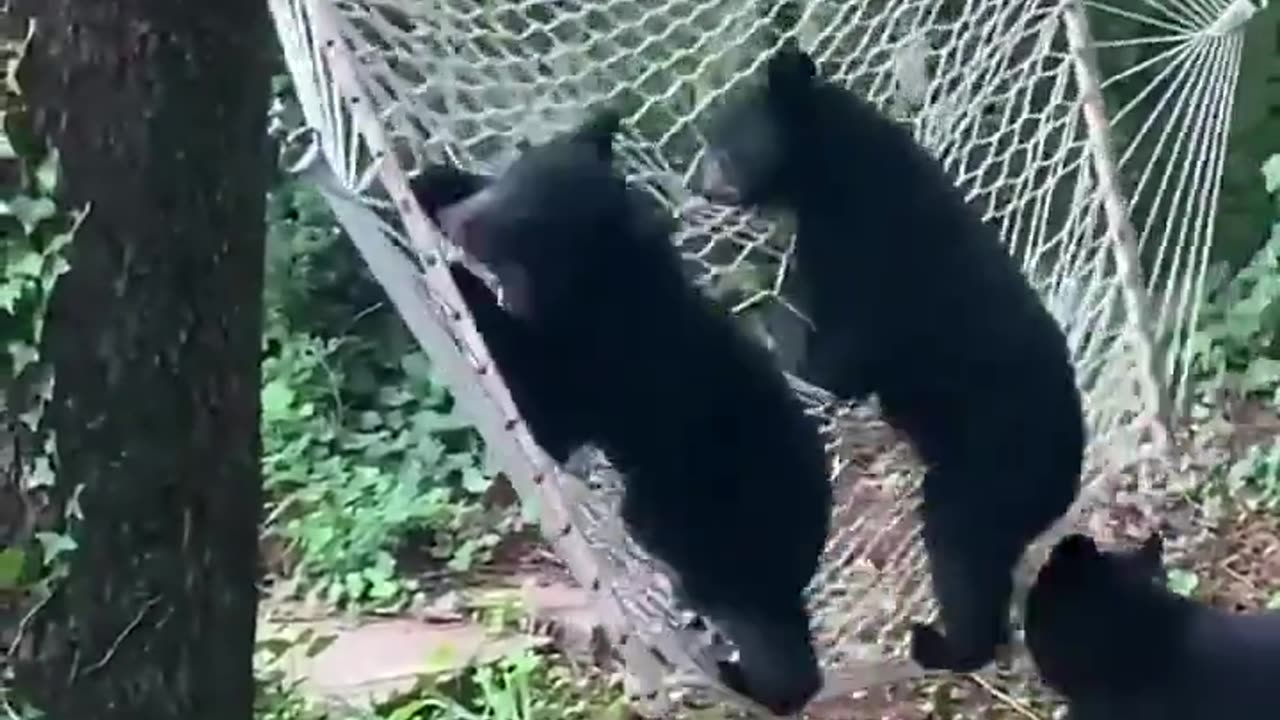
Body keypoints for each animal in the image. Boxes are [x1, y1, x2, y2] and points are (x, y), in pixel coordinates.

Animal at [417, 112, 829, 712]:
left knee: (763, 633)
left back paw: (738, 675)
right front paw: (431, 180)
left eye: (524, 225)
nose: (457, 223)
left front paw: (463, 282)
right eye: (511, 174)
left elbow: (544, 410)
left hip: (706, 526)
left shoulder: (602, 365)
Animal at [696, 39, 1085, 671]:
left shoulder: (870, 258)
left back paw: (946, 645)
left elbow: (833, 362)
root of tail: (1067, 475)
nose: (703, 186)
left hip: (991, 470)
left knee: (959, 546)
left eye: (726, 145)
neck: (835, 171)